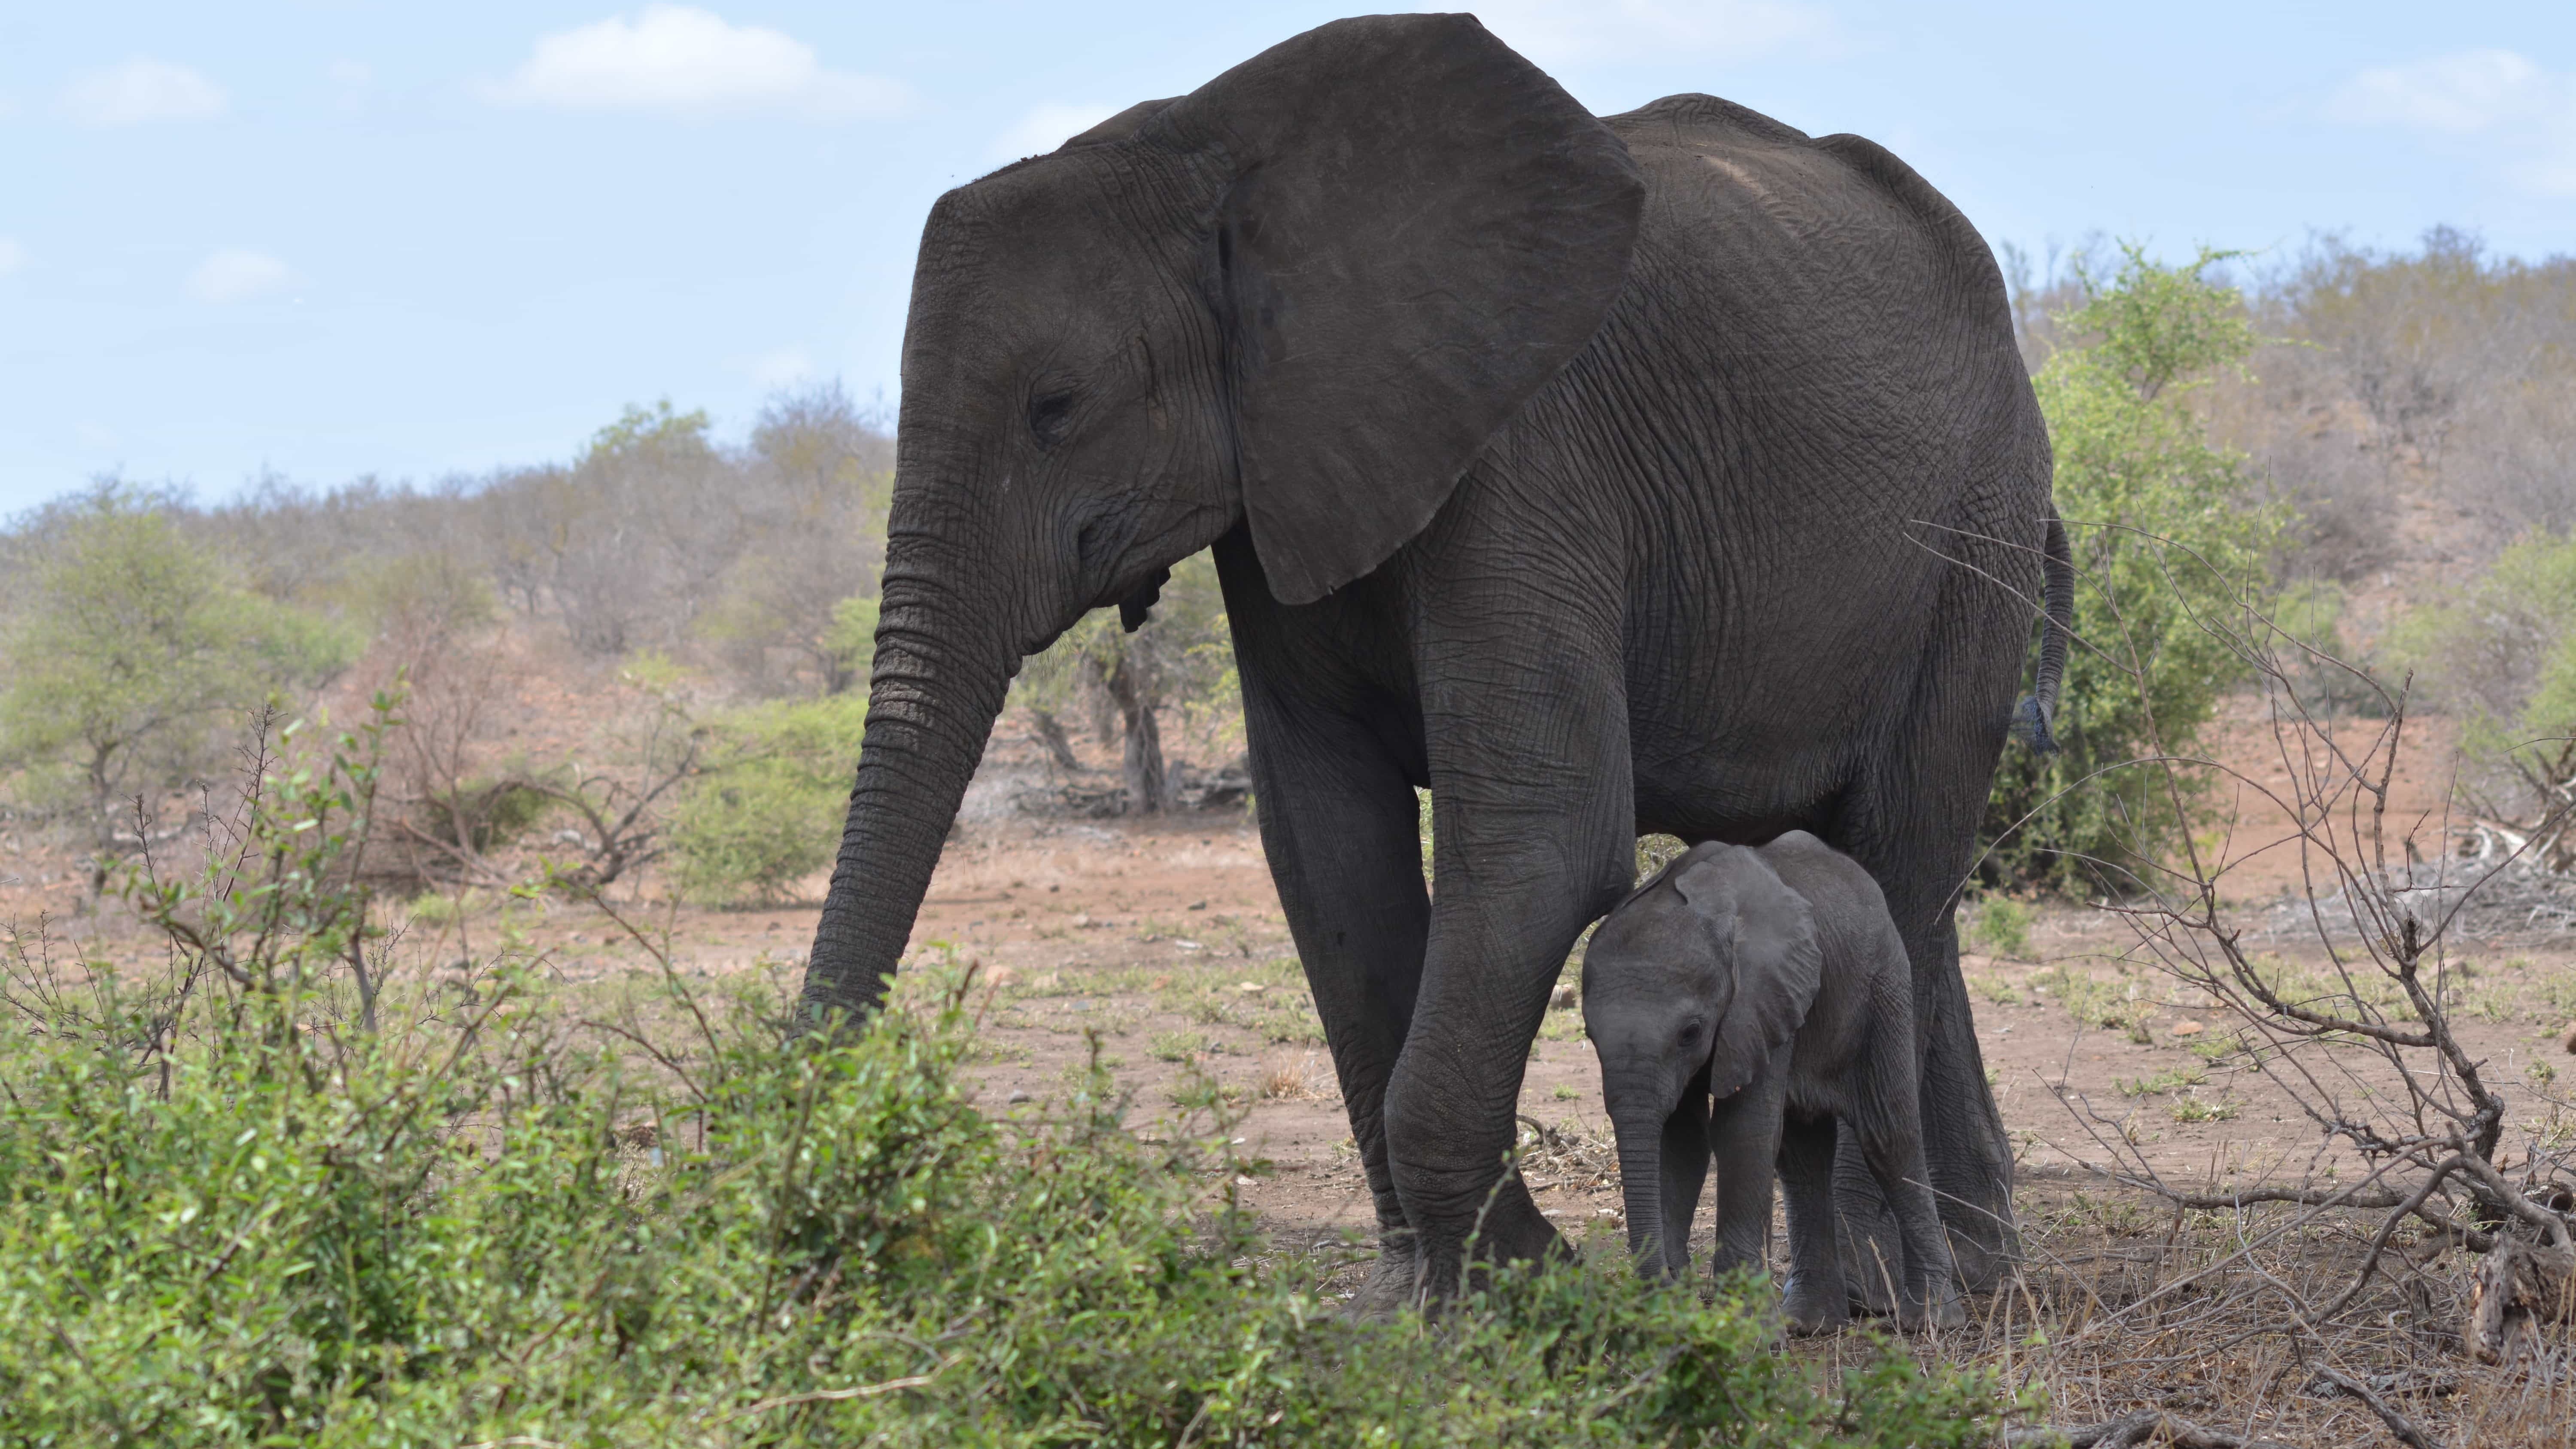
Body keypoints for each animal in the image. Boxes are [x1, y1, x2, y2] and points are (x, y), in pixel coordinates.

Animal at [1584, 834, 1964, 1332]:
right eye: (1590, 1035)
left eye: (1691, 1032)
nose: (1670, 1285)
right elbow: (1682, 1141)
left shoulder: (1762, 998)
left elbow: (1741, 1134)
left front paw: (1743, 1333)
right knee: (1803, 1156)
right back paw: (1810, 1323)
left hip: (1885, 985)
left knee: (1889, 1136)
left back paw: (1932, 1319)